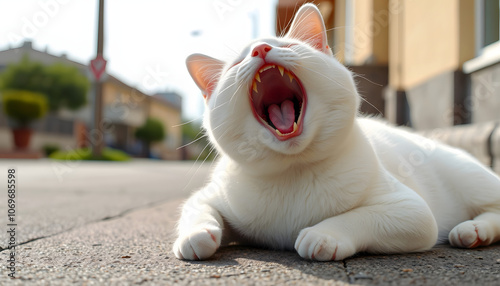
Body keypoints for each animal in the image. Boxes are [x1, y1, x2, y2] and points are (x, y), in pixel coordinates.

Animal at [174, 3, 500, 262]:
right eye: (237, 64)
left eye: (287, 47)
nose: (260, 49)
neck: (294, 171)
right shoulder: (210, 195)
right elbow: (196, 208)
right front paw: (195, 234)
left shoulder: (411, 211)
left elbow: (360, 216)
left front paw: (324, 234)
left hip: (468, 175)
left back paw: (472, 229)